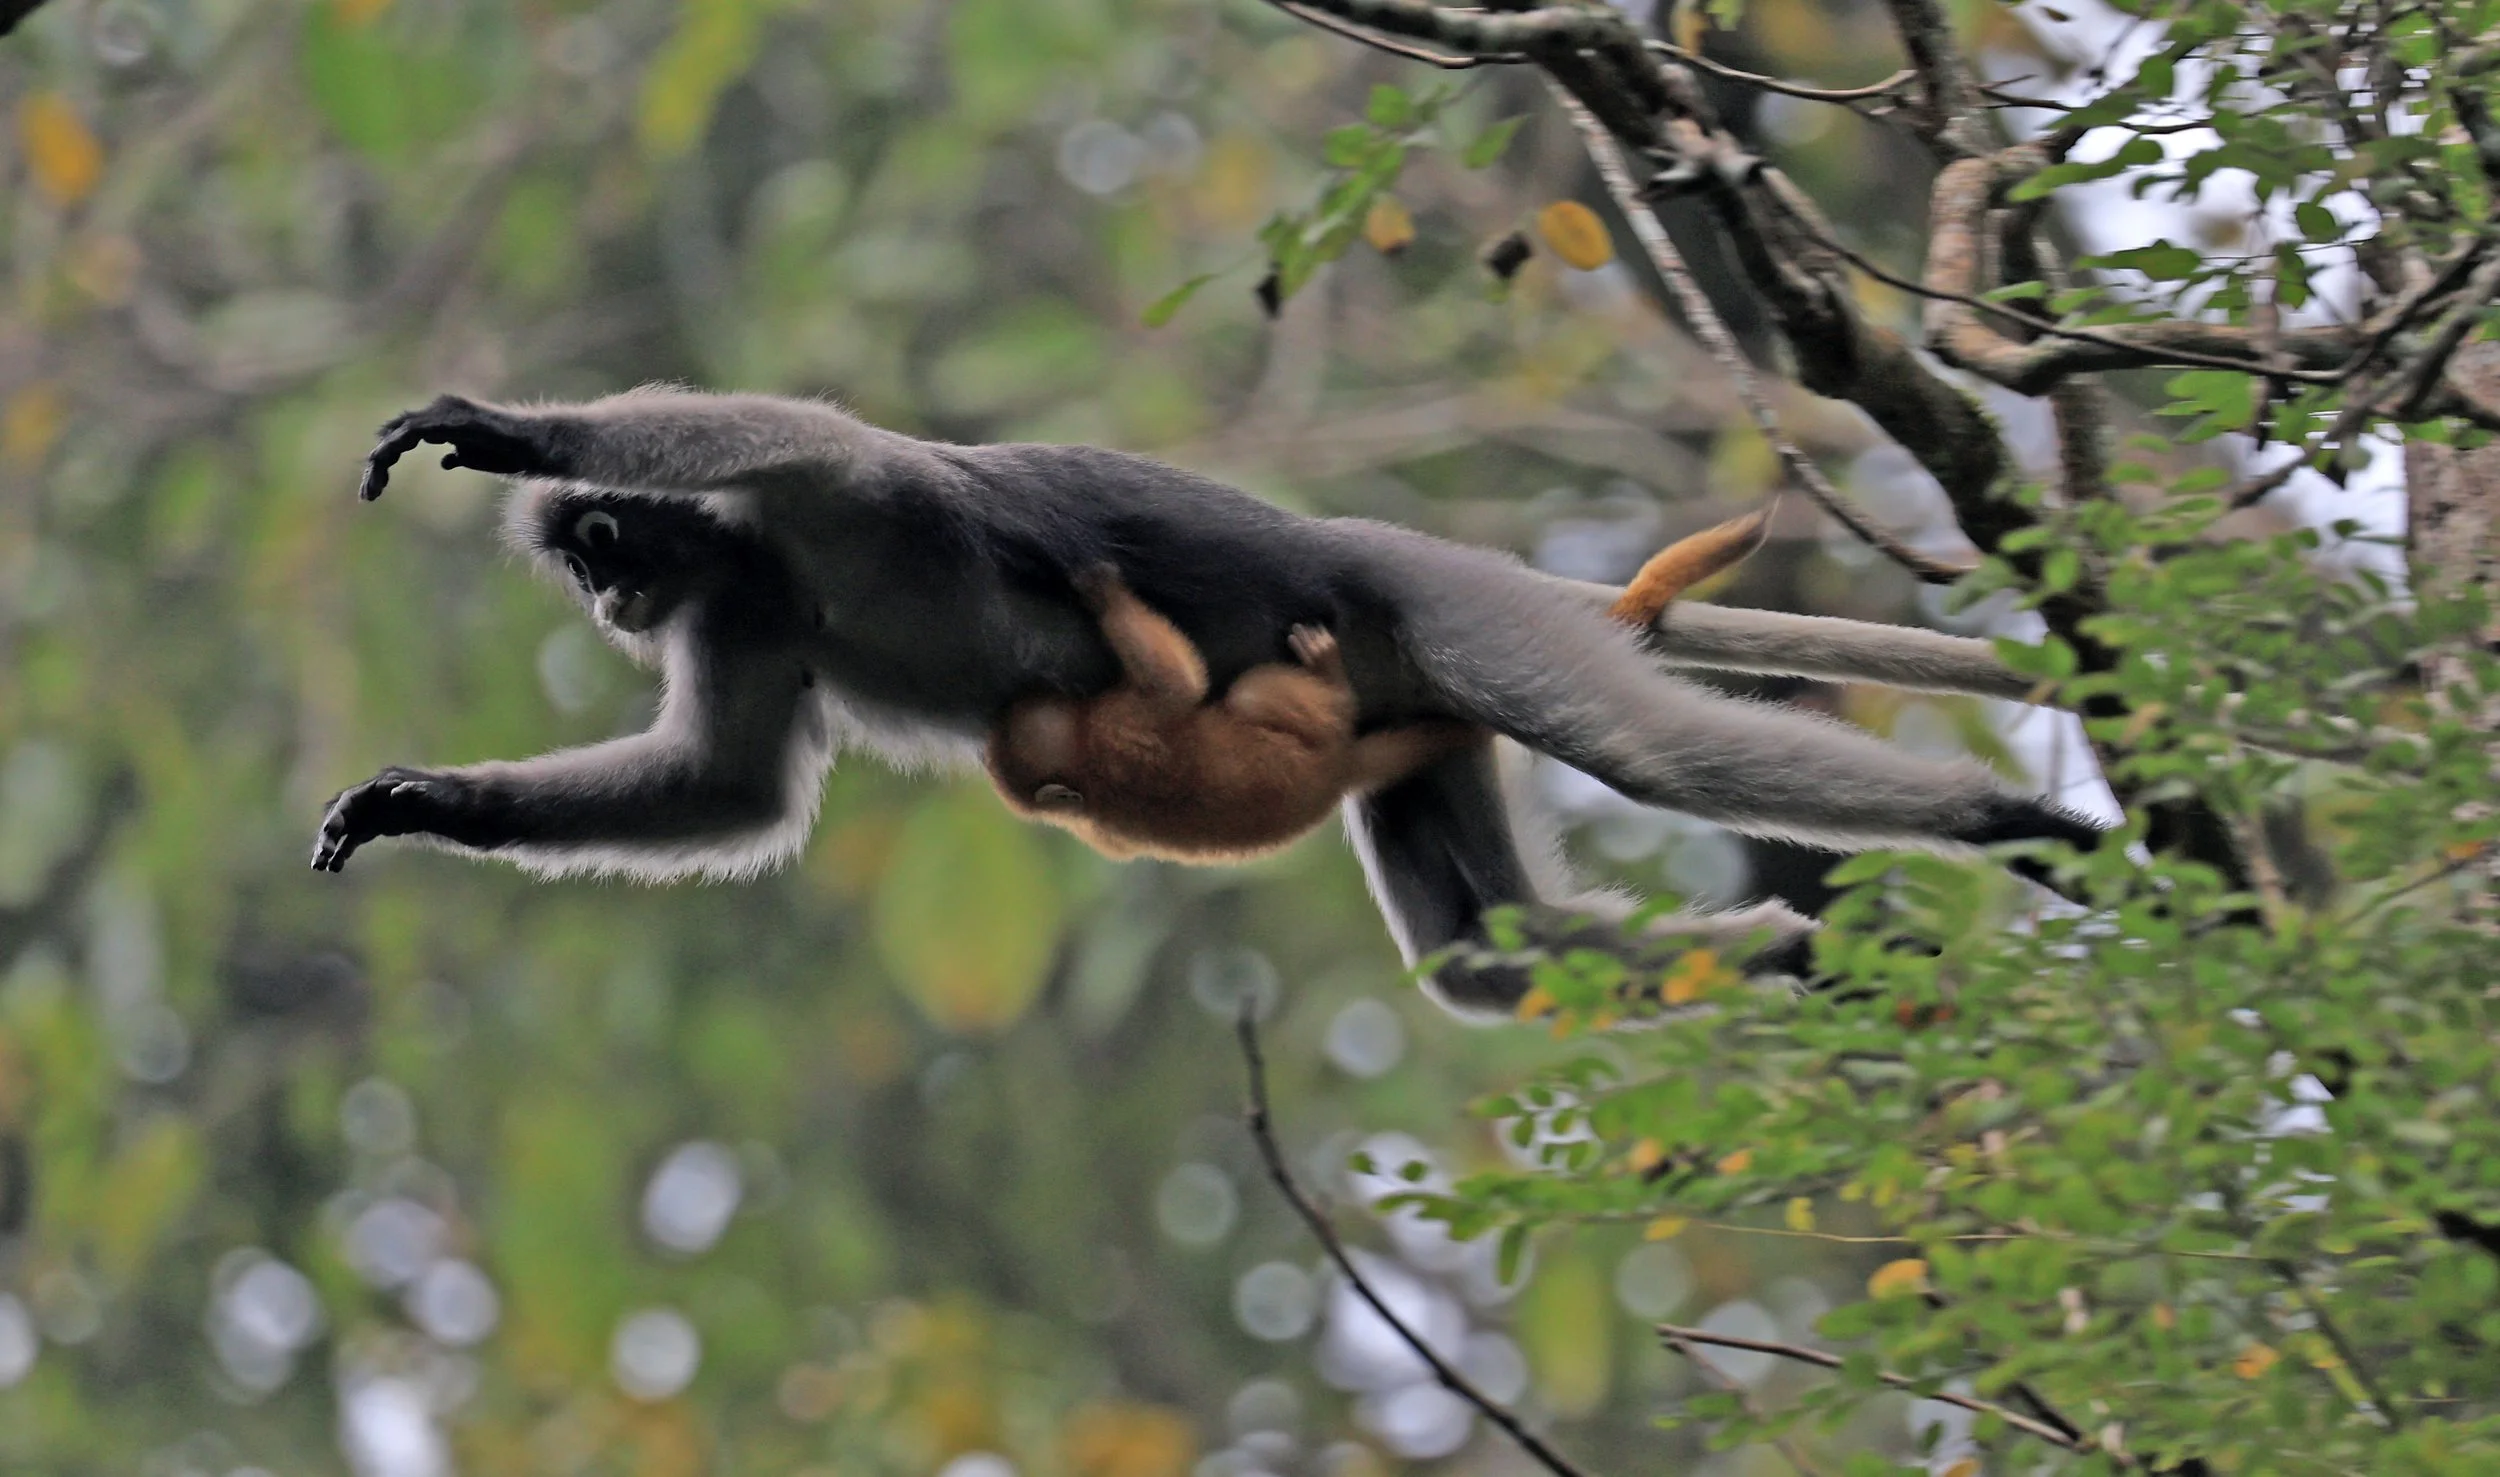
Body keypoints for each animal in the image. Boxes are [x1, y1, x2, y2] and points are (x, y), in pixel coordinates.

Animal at [986, 509, 1773, 863]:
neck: (1085, 774)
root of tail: (1337, 770)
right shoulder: (1122, 727)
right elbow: (1177, 688)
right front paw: (1101, 590)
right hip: (1311, 723)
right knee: (1264, 698)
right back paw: (1329, 675)